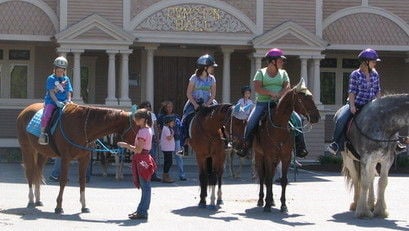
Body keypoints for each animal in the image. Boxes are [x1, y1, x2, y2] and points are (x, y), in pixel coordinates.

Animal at [252, 79, 322, 213]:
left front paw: (283, 205)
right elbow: (267, 180)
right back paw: (261, 200)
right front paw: (267, 205)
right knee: (263, 177)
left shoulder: (286, 157)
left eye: (311, 97)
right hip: (259, 155)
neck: (278, 127)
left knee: (270, 176)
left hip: (275, 159)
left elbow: (283, 181)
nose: (317, 117)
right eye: (302, 99)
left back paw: (271, 200)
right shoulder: (268, 156)